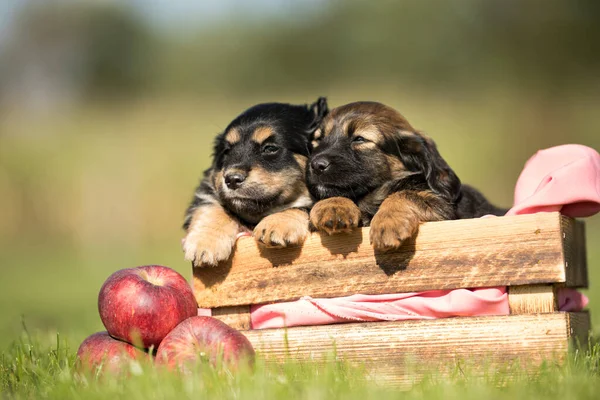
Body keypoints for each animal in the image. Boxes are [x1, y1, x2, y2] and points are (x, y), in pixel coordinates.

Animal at [185, 97, 330, 266]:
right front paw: (205, 244)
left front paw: (276, 225)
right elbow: (212, 205)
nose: (231, 179)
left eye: (270, 148)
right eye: (226, 151)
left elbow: (305, 206)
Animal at [304, 101, 506, 250]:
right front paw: (332, 206)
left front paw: (387, 223)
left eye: (359, 139)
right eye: (319, 139)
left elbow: (405, 194)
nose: (316, 165)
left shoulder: (444, 211)